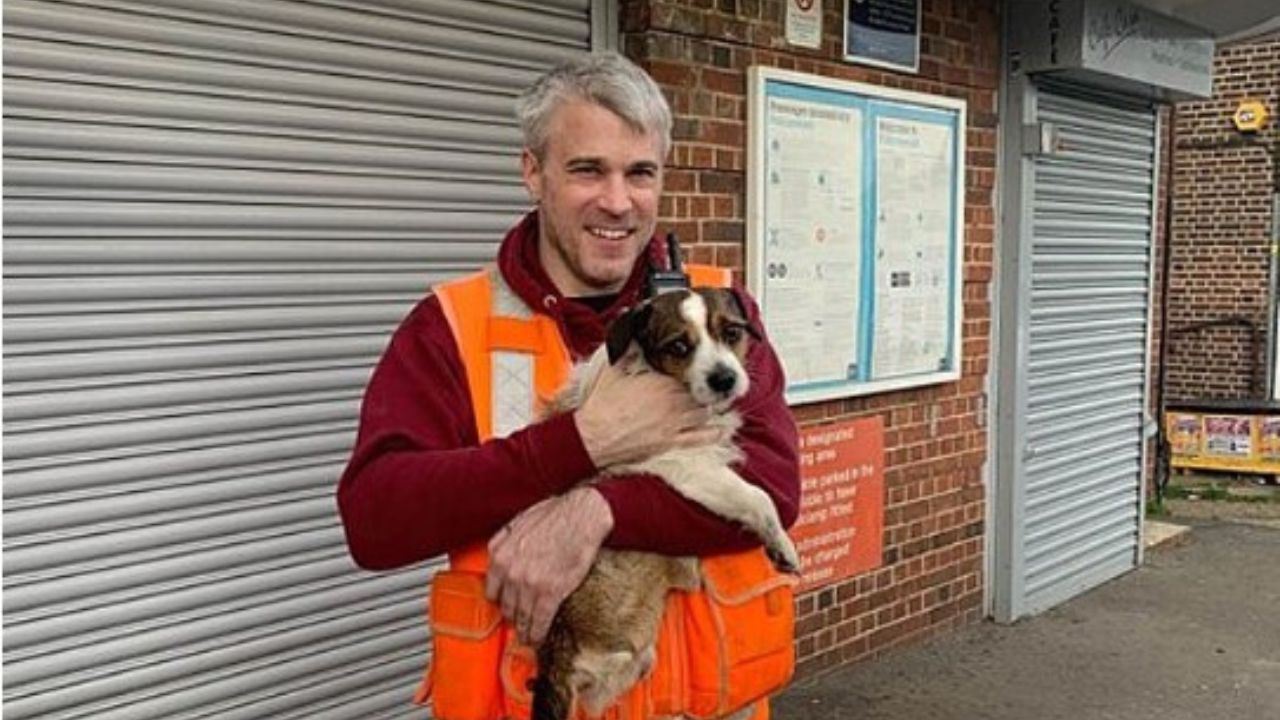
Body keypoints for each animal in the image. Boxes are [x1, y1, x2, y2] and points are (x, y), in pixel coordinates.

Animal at [529, 285, 798, 717]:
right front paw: (781, 545)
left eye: (732, 332)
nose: (724, 379)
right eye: (678, 346)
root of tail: (556, 653)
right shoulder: (687, 466)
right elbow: (758, 497)